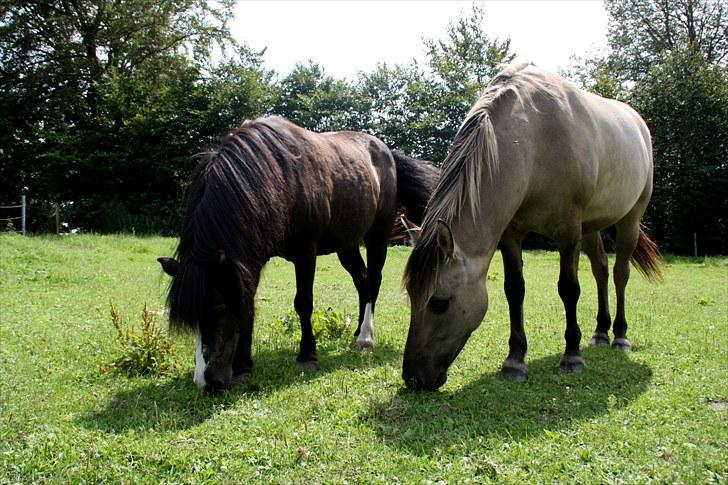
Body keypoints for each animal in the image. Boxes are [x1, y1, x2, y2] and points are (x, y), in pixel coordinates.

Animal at [158, 116, 438, 394]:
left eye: (217, 308)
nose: (206, 382)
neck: (276, 177)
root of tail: (385, 151)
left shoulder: (306, 252)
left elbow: (303, 302)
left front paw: (307, 356)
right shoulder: (249, 260)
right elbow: (248, 304)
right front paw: (243, 367)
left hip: (377, 236)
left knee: (374, 281)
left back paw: (366, 338)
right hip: (346, 243)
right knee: (362, 280)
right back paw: (357, 331)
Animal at [400, 63, 664, 390]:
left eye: (439, 303)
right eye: (411, 295)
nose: (414, 378)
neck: (535, 140)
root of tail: (638, 123)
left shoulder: (568, 232)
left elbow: (569, 289)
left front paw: (572, 357)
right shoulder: (511, 234)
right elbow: (514, 290)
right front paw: (515, 361)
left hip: (629, 219)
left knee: (620, 274)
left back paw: (620, 337)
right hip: (591, 227)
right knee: (601, 270)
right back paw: (601, 332)